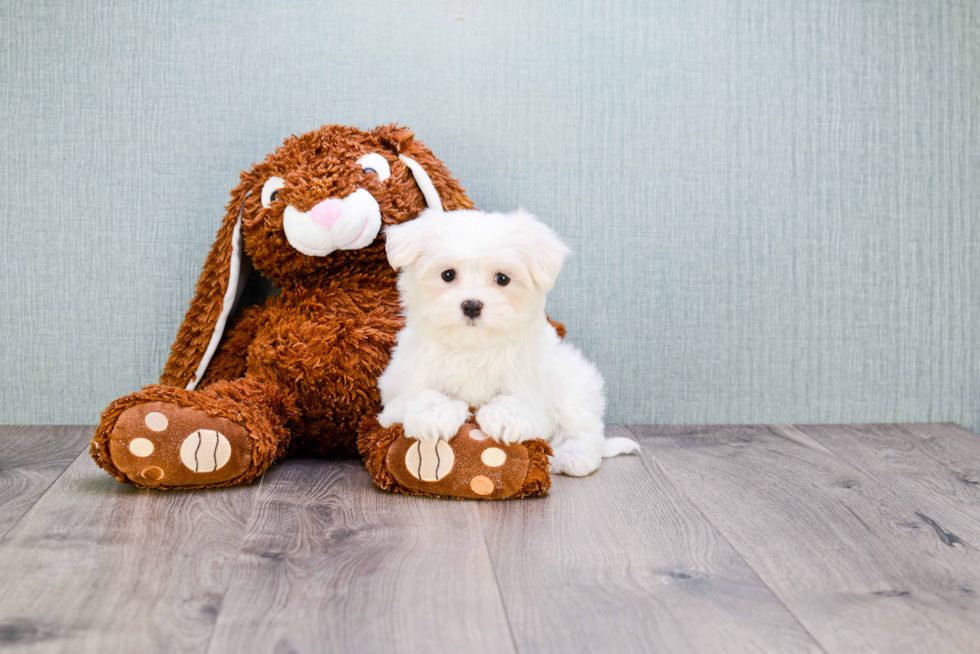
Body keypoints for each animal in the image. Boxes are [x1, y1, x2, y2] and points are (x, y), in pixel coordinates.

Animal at [374, 209, 636, 476]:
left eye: (502, 279)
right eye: (448, 274)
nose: (472, 305)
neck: (473, 347)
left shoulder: (533, 387)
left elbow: (518, 400)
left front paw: (505, 418)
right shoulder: (397, 392)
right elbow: (422, 395)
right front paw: (434, 414)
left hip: (574, 383)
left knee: (582, 427)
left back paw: (573, 456)